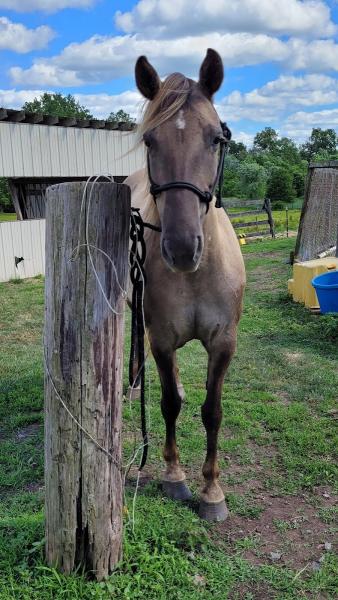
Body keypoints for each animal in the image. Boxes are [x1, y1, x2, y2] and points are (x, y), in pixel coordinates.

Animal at [127, 48, 246, 520]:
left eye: (215, 139)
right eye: (149, 141)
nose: (180, 248)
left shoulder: (223, 342)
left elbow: (212, 411)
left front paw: (212, 491)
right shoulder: (160, 339)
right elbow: (169, 405)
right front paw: (175, 476)